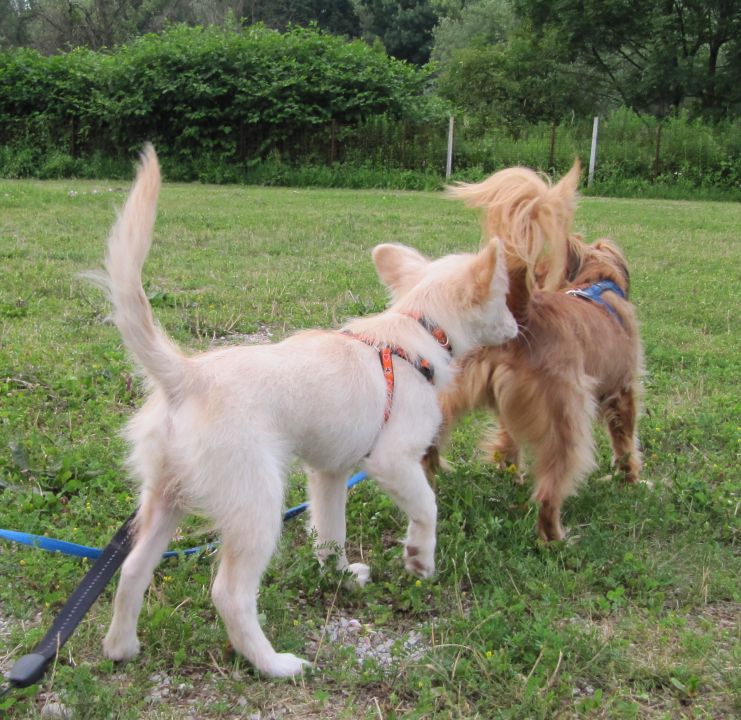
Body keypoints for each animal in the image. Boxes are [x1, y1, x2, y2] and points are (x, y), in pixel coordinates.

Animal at [94, 145, 516, 676]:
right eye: (507, 297)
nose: (519, 327)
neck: (413, 330)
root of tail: (187, 376)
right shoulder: (393, 461)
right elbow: (427, 507)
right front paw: (420, 559)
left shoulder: (329, 474)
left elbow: (329, 533)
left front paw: (339, 576)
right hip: (256, 502)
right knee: (229, 593)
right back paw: (274, 664)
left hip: (167, 496)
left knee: (131, 569)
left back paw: (121, 647)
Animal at [434, 162, 640, 540]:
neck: (594, 284)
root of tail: (523, 316)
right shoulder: (622, 389)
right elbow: (626, 441)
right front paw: (630, 478)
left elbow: (506, 442)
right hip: (567, 419)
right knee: (549, 489)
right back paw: (555, 537)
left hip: (455, 387)